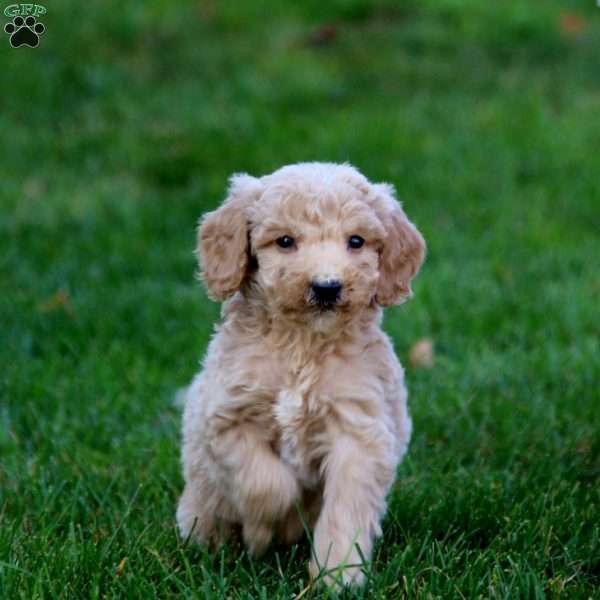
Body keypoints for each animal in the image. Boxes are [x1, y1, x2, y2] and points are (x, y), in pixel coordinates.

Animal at [176, 162, 424, 584]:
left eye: (356, 241)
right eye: (285, 241)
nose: (326, 287)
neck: (302, 345)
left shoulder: (359, 432)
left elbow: (346, 509)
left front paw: (339, 575)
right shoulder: (227, 418)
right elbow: (265, 483)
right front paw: (264, 530)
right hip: (199, 498)